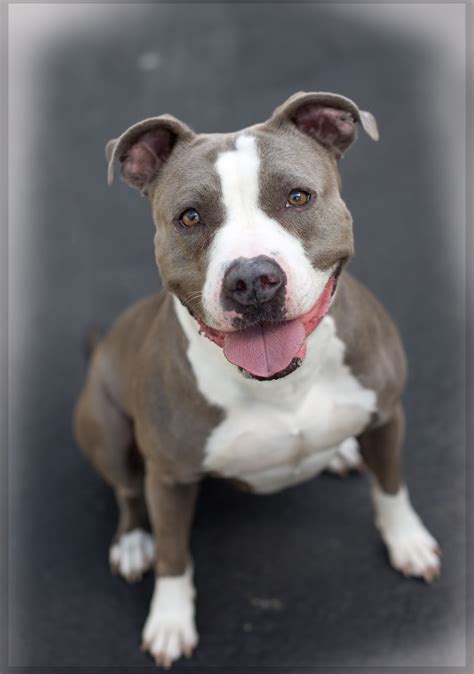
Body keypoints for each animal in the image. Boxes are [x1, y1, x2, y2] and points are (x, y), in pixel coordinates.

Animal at [73, 92, 440, 664]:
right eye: (190, 217)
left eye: (297, 197)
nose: (251, 279)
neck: (284, 383)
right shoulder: (169, 479)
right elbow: (174, 554)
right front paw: (170, 620)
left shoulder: (387, 416)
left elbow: (391, 487)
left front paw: (408, 541)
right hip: (106, 428)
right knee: (128, 492)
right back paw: (133, 543)